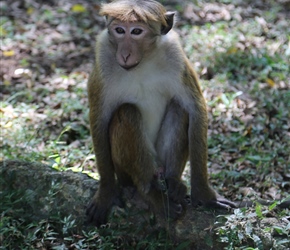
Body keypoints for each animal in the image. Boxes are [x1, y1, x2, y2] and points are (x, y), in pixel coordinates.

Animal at [85, 0, 239, 227]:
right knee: (128, 112)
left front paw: (204, 195)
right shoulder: (103, 55)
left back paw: (173, 183)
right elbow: (100, 120)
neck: (142, 63)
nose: (125, 53)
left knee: (178, 108)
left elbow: (195, 109)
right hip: (126, 168)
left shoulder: (175, 55)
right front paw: (106, 193)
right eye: (119, 30)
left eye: (136, 31)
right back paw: (149, 192)